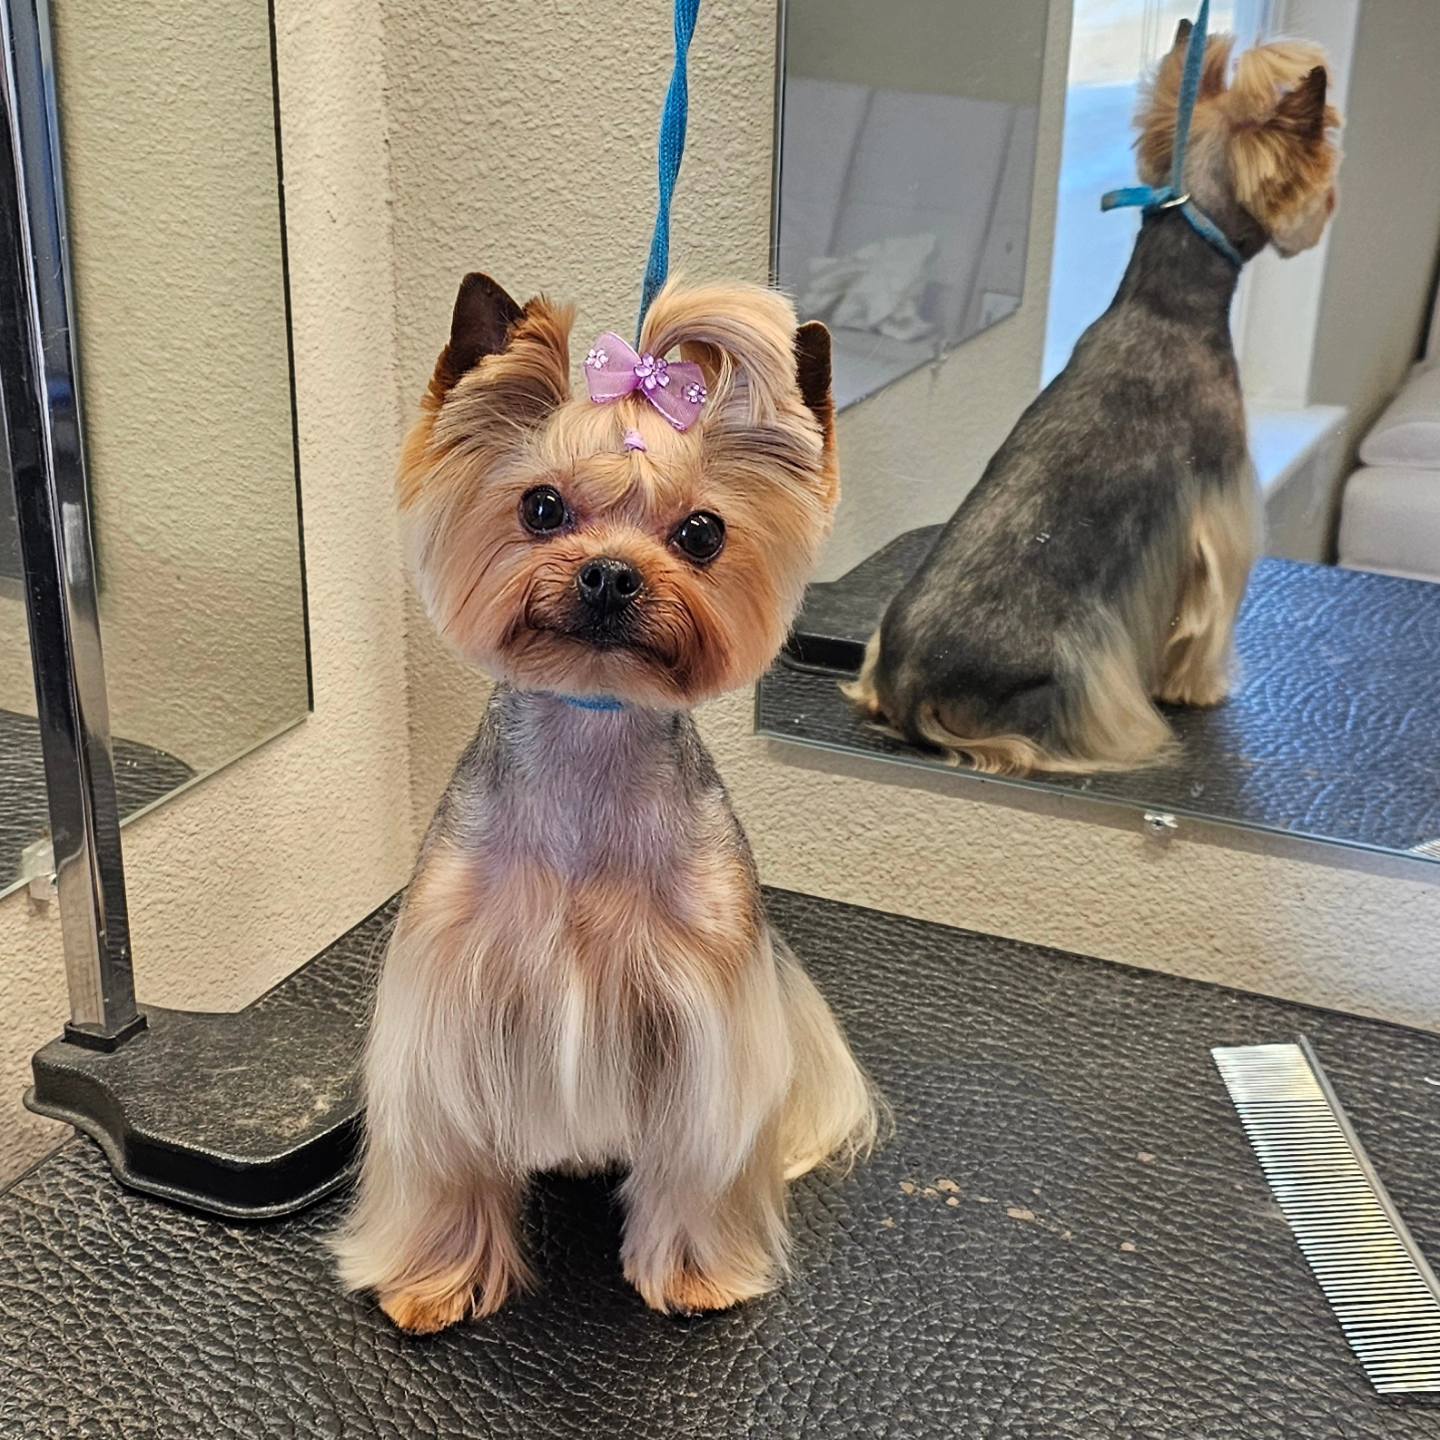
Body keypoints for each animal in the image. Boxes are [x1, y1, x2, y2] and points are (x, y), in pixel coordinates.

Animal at [333, 274, 879, 1332]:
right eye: (542, 507)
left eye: (702, 532)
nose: (611, 573)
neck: (594, 725)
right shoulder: (447, 1001)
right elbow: (446, 1155)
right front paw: (436, 1279)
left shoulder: (709, 1018)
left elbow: (701, 1153)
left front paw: (698, 1272)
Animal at [844, 25, 1343, 775]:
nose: (1330, 203)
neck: (1166, 302)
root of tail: (911, 692)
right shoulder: (1217, 508)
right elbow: (1208, 615)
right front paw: (1198, 686)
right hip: (1077, 677)